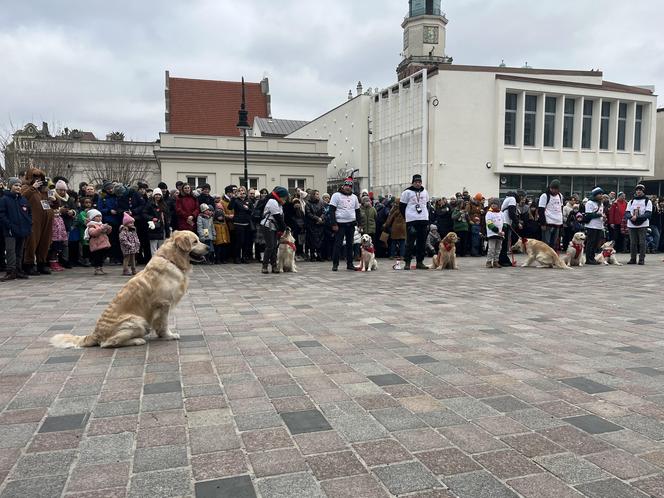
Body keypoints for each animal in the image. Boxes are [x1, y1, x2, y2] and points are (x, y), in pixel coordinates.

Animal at [50, 231, 209, 348]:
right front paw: (169, 335)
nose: (208, 247)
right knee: (107, 343)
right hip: (138, 320)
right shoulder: (163, 303)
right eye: (195, 241)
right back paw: (137, 340)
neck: (172, 260)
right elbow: (164, 323)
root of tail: (95, 334)